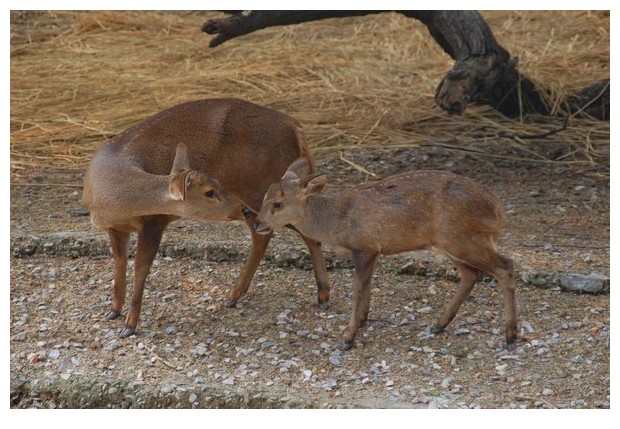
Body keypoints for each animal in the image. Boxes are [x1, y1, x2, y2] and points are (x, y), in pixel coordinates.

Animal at [85, 98, 332, 336]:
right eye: (210, 191)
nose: (242, 209)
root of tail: (295, 127)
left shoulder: (153, 222)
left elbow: (140, 268)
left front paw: (130, 325)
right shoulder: (116, 227)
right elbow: (119, 263)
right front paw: (114, 311)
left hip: (261, 191)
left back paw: (322, 296)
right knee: (265, 235)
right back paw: (236, 295)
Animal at [252, 159, 520, 350]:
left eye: (277, 204)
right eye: (264, 197)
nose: (256, 222)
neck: (338, 221)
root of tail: (497, 210)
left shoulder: (363, 247)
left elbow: (357, 289)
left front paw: (347, 338)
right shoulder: (374, 250)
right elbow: (367, 286)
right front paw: (362, 320)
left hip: (460, 237)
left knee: (505, 265)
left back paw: (510, 336)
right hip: (450, 242)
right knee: (471, 274)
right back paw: (439, 324)